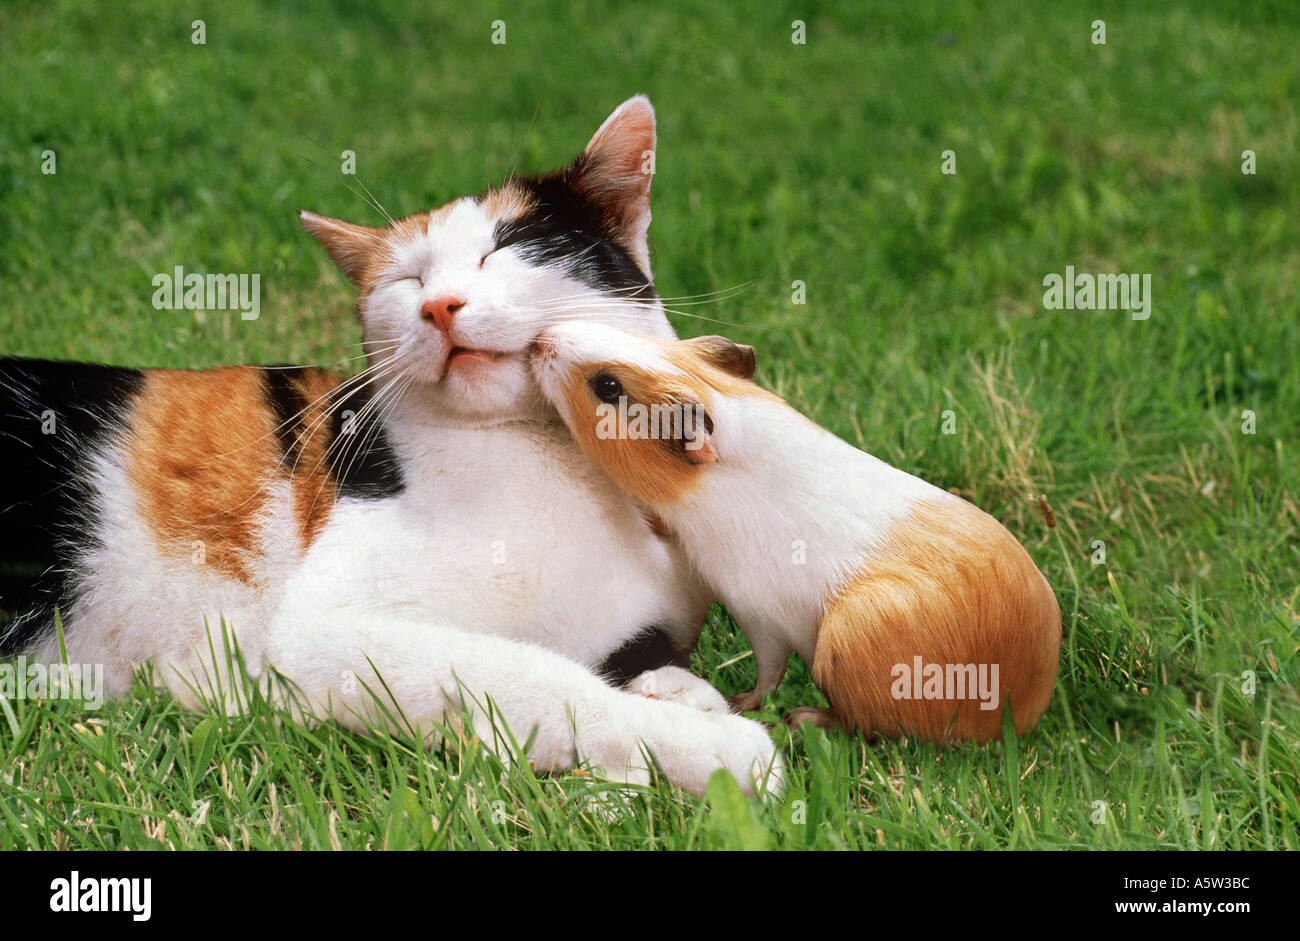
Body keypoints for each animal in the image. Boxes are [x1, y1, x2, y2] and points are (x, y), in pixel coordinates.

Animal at [0, 99, 780, 795]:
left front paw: (681, 693)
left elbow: (639, 653)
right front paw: (717, 746)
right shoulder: (320, 634)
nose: (438, 305)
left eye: (503, 248)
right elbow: (534, 673)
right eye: (407, 281)